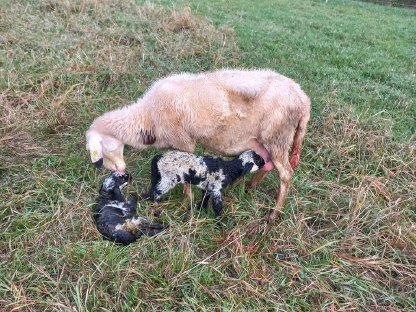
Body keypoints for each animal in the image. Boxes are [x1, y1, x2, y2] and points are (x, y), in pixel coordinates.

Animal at [87, 69, 308, 223]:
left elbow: (185, 173)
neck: (147, 117)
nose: (121, 171)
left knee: (286, 174)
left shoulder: (184, 141)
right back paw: (249, 186)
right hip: (266, 140)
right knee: (267, 164)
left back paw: (274, 215)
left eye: (102, 150)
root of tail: (303, 99)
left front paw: (188, 201)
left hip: (278, 136)